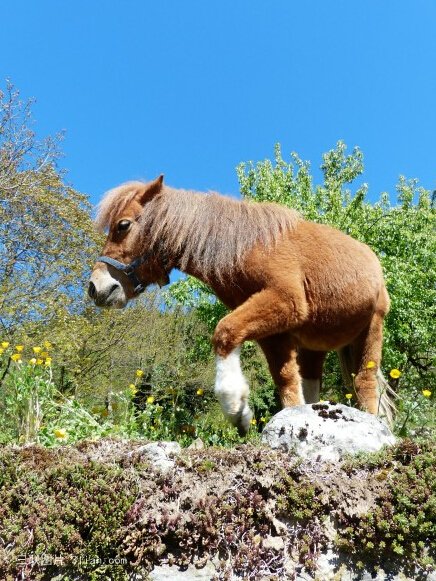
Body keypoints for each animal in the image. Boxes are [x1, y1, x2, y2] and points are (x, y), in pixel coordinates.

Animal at [88, 177, 396, 436]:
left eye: (123, 225)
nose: (95, 287)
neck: (244, 246)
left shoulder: (286, 301)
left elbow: (224, 333)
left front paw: (236, 408)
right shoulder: (275, 333)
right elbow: (286, 381)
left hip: (371, 330)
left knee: (365, 383)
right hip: (313, 347)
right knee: (311, 384)